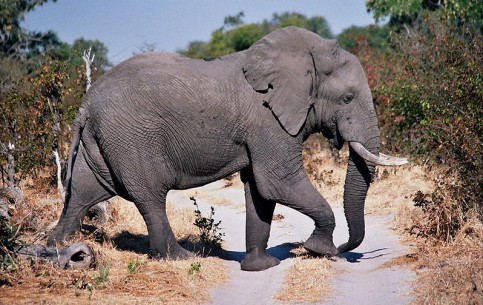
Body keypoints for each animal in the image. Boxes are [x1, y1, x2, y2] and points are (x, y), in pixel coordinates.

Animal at [47, 25, 406, 268]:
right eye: (347, 98)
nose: (346, 249)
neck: (306, 56)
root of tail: (86, 103)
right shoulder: (267, 121)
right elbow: (277, 182)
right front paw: (321, 251)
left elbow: (259, 191)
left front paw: (262, 266)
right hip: (131, 137)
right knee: (149, 195)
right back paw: (180, 258)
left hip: (101, 140)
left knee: (83, 193)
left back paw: (58, 247)